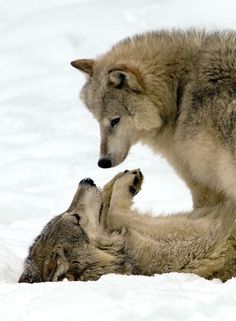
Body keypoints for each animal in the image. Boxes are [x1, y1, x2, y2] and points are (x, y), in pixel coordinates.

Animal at [18, 169, 236, 282]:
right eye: (77, 218)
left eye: (71, 212)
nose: (85, 180)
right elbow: (116, 211)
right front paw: (126, 182)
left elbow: (109, 205)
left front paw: (117, 180)